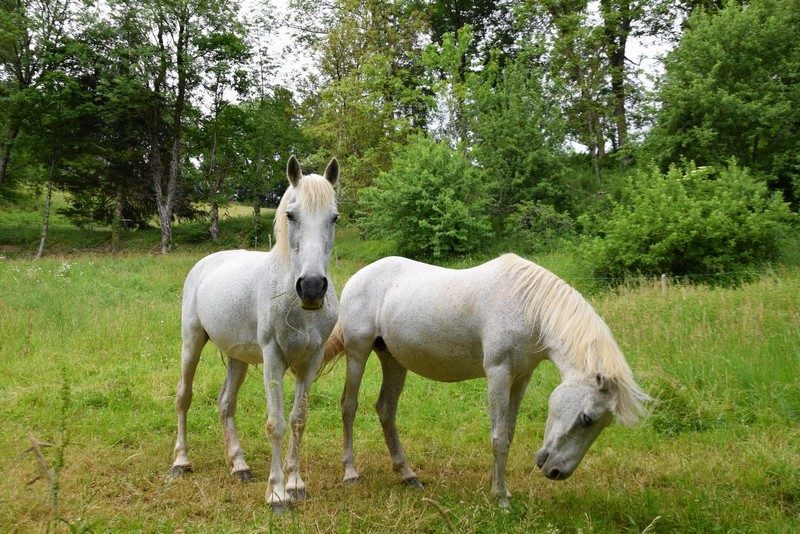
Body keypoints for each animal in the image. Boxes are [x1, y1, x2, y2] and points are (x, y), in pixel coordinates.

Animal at [171, 156, 340, 513]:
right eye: (291, 214)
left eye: (334, 217)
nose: (312, 287)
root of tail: (205, 263)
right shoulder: (273, 357)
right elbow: (276, 423)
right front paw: (276, 494)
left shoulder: (311, 360)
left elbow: (298, 419)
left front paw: (295, 484)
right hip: (192, 342)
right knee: (183, 397)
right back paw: (181, 462)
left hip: (237, 358)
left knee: (225, 404)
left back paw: (239, 466)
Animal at [324, 254, 650, 507]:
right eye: (586, 418)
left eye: (603, 424)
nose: (555, 471)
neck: (528, 307)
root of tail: (359, 277)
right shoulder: (498, 373)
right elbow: (498, 436)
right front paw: (501, 499)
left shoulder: (521, 377)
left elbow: (508, 432)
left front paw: (497, 485)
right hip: (358, 352)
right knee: (349, 406)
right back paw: (351, 473)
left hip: (393, 360)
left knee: (386, 409)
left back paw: (408, 475)